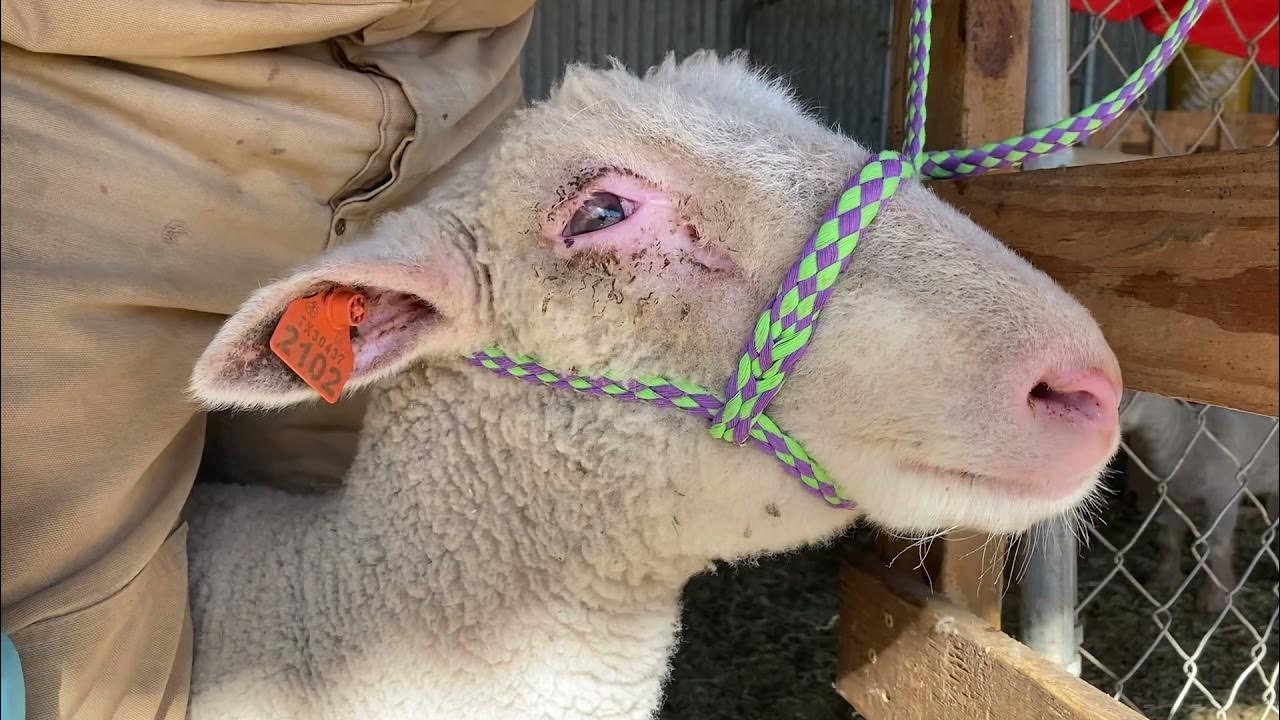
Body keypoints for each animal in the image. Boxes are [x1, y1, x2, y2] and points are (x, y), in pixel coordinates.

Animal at [1120, 390, 1279, 613]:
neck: (1184, 438)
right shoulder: (1174, 494)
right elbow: (1169, 538)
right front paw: (1164, 581)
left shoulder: (1224, 493)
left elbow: (1218, 544)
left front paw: (1216, 598)